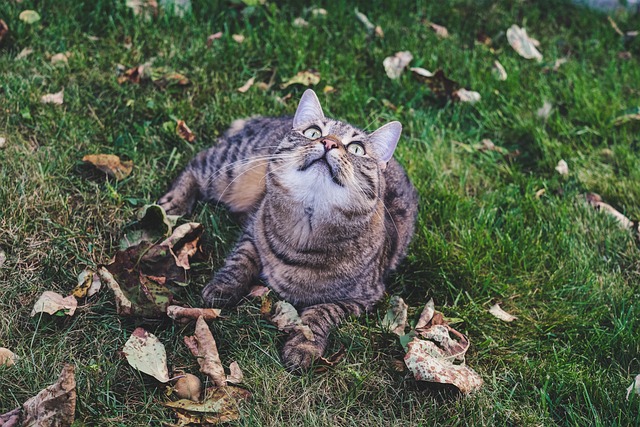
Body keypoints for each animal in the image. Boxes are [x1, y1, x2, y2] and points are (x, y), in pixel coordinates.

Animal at [159, 90, 418, 372]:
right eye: (314, 132)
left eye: (356, 148)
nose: (329, 143)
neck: (304, 231)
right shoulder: (253, 229)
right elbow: (239, 261)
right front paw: (223, 287)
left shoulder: (363, 298)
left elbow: (321, 313)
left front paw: (303, 346)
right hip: (231, 169)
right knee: (197, 163)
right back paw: (173, 203)